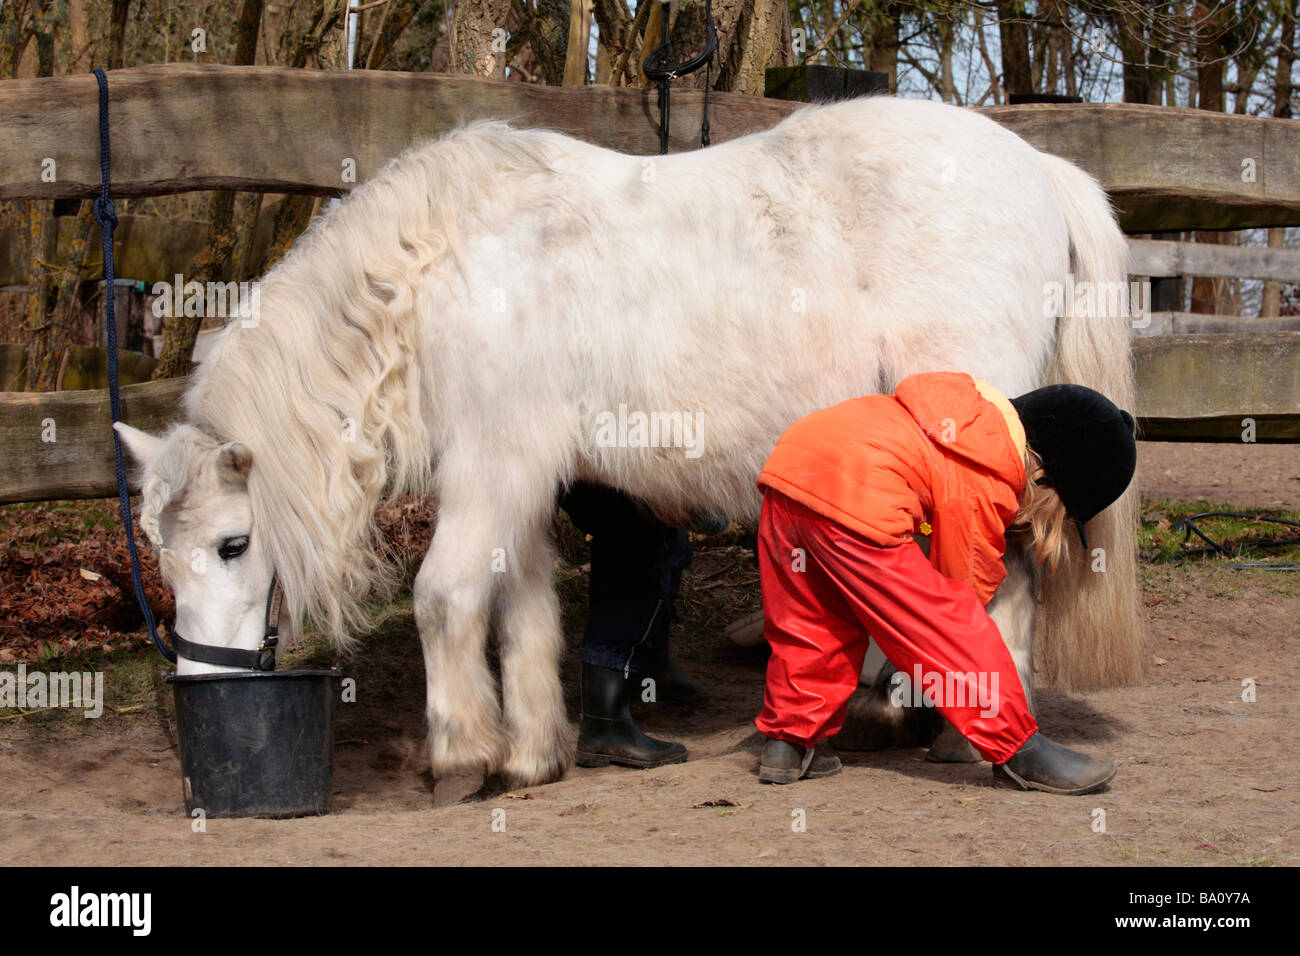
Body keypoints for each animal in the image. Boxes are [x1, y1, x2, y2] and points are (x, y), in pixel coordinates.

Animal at [116, 95, 1144, 785]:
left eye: (233, 544)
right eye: (160, 557)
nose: (203, 685)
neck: (441, 268)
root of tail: (1038, 169)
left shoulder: (493, 464)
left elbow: (446, 598)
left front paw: (462, 753)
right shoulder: (520, 478)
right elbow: (525, 610)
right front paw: (533, 751)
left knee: (1004, 582)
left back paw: (963, 728)